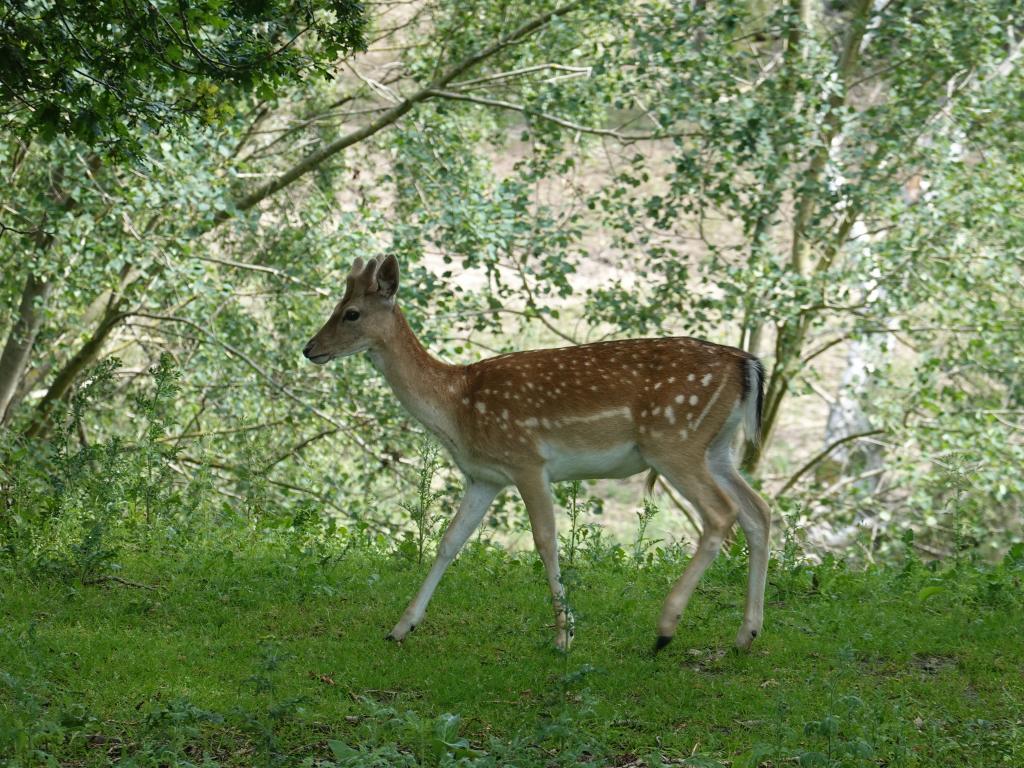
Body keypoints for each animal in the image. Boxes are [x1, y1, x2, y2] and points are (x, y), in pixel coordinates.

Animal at [303, 256, 770, 651]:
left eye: (351, 313)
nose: (309, 348)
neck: (456, 407)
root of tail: (747, 364)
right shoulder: (484, 476)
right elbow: (450, 541)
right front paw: (402, 627)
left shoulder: (527, 461)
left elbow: (546, 541)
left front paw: (565, 636)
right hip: (717, 449)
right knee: (759, 511)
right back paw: (745, 635)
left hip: (674, 441)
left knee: (721, 514)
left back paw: (666, 627)